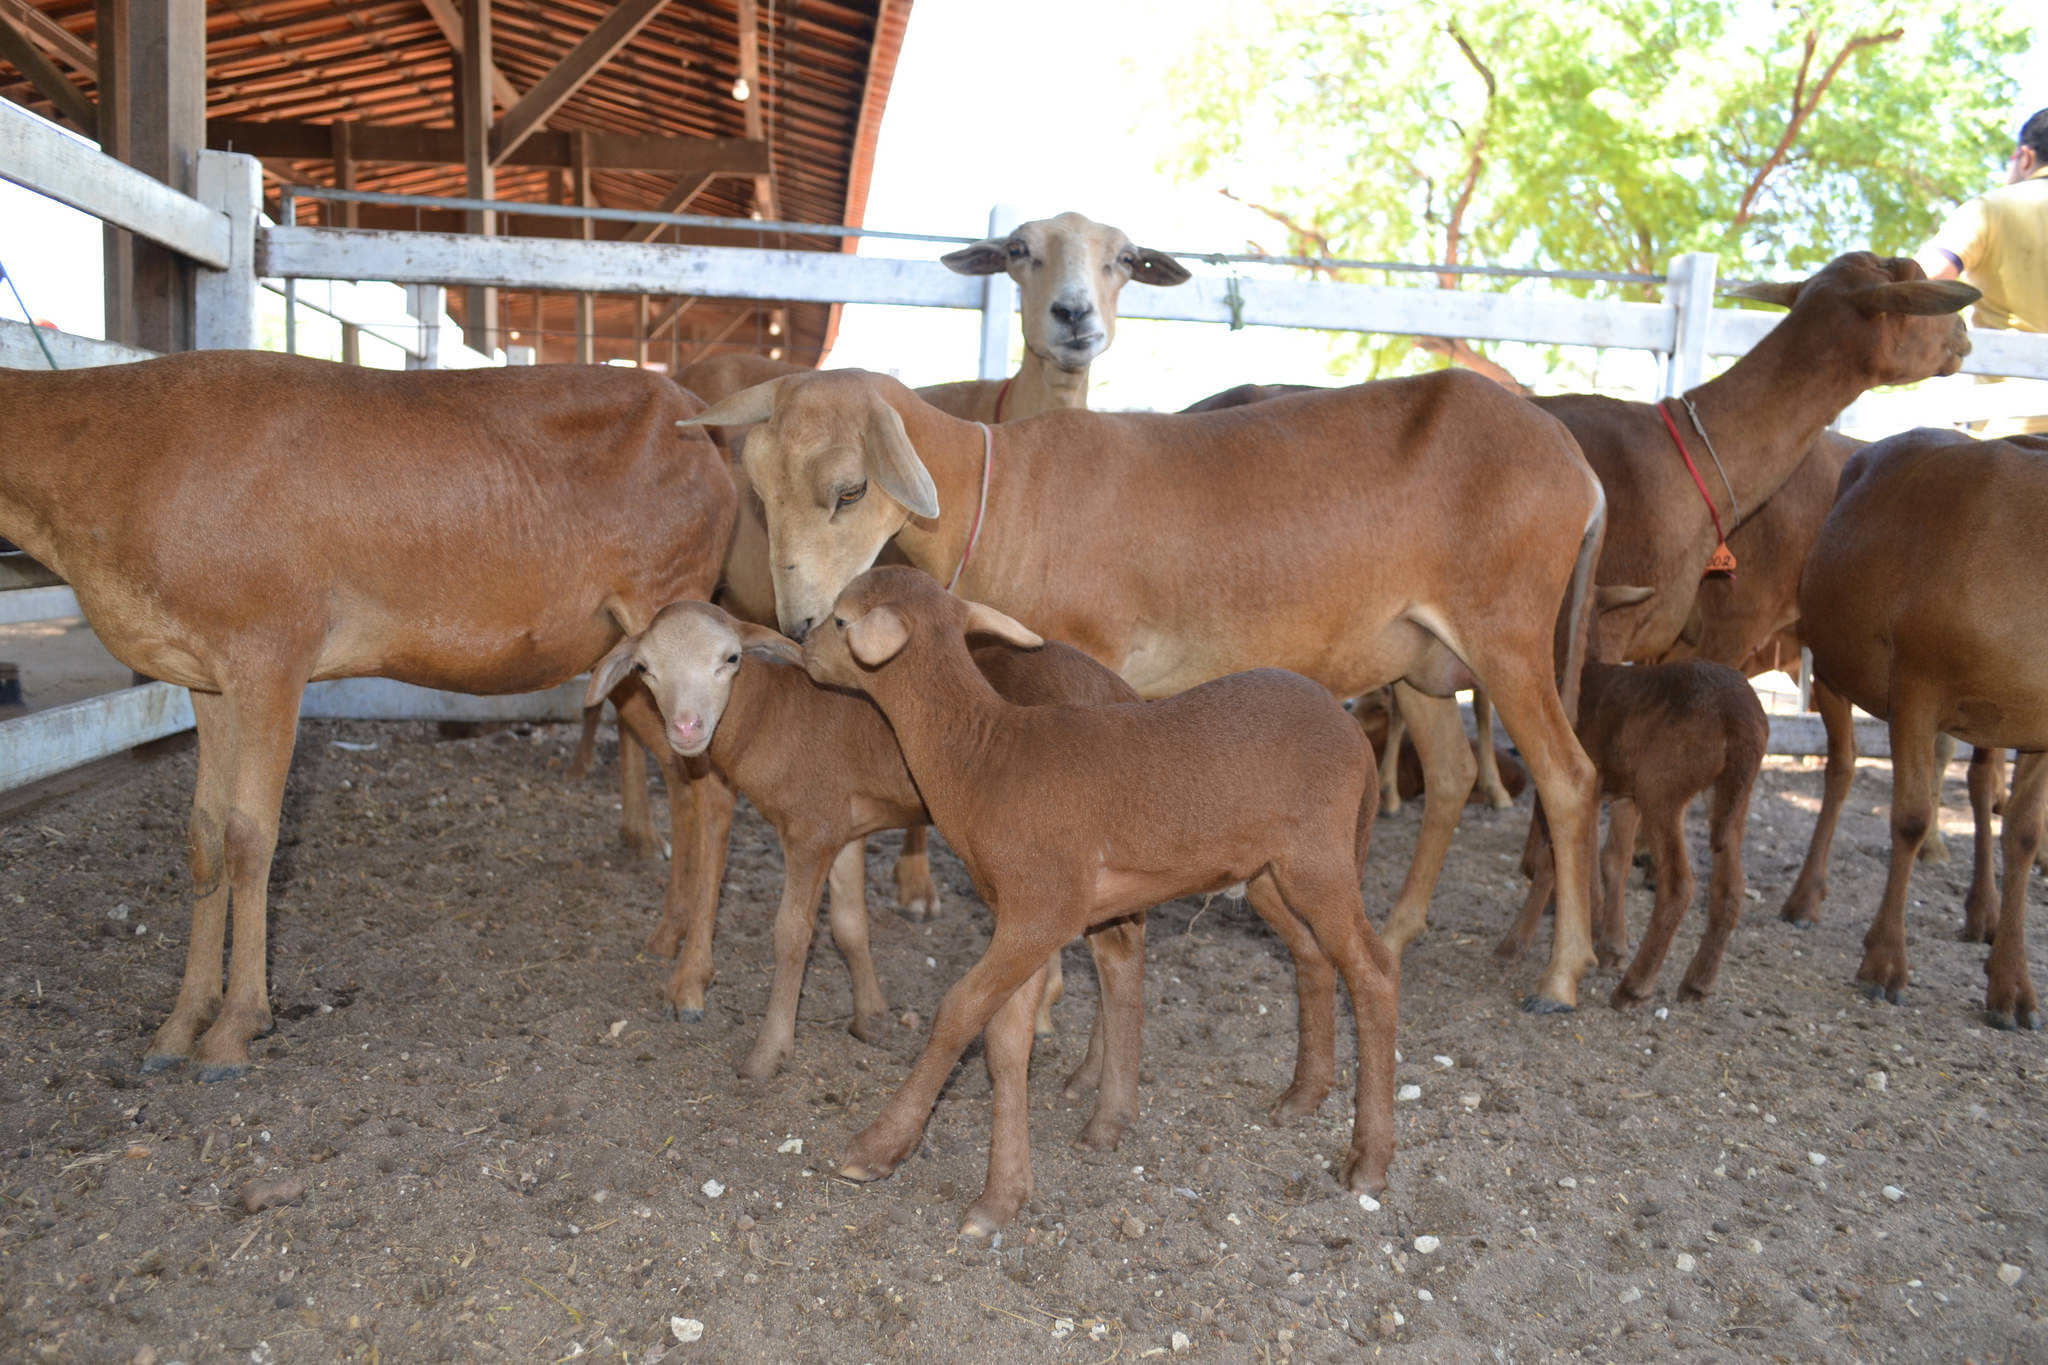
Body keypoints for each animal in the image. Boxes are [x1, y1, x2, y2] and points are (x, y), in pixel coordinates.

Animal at [0, 351, 737, 1080]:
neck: (121, 450)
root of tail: (697, 419)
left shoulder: (271, 650)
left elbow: (249, 838)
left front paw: (235, 1030)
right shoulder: (205, 676)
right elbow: (204, 839)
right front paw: (179, 1026)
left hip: (671, 602)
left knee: (714, 795)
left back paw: (691, 981)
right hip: (638, 665)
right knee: (685, 781)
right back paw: (669, 933)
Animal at [585, 601, 1146, 1080]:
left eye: (731, 658)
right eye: (644, 668)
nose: (685, 727)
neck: (768, 713)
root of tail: (1122, 692)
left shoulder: (811, 828)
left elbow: (792, 933)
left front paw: (768, 1054)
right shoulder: (844, 828)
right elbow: (850, 925)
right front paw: (870, 1018)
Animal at [798, 564, 1392, 1236]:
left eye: (840, 619)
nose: (801, 641)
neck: (981, 757)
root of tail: (1357, 737)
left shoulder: (1041, 906)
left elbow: (957, 1011)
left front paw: (877, 1148)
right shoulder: (1026, 916)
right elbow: (1006, 1041)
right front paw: (1003, 1196)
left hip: (1320, 859)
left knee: (1374, 971)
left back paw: (1369, 1159)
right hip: (1271, 874)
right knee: (1314, 957)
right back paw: (1302, 1096)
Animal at [1499, 654, 1769, 1010]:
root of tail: (1739, 719)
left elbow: (1552, 860)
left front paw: (1513, 945)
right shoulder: (1624, 795)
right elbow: (1614, 860)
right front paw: (1611, 950)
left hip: (1663, 788)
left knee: (1679, 886)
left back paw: (1634, 987)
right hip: (1730, 796)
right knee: (1731, 886)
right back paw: (1697, 983)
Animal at [1802, 429, 2039, 1023]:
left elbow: (2024, 833)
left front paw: (2013, 987)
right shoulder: (1915, 683)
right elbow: (1908, 818)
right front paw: (1883, 964)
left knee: (1977, 782)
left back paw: (1984, 916)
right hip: (1832, 664)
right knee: (1841, 768)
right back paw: (1804, 897)